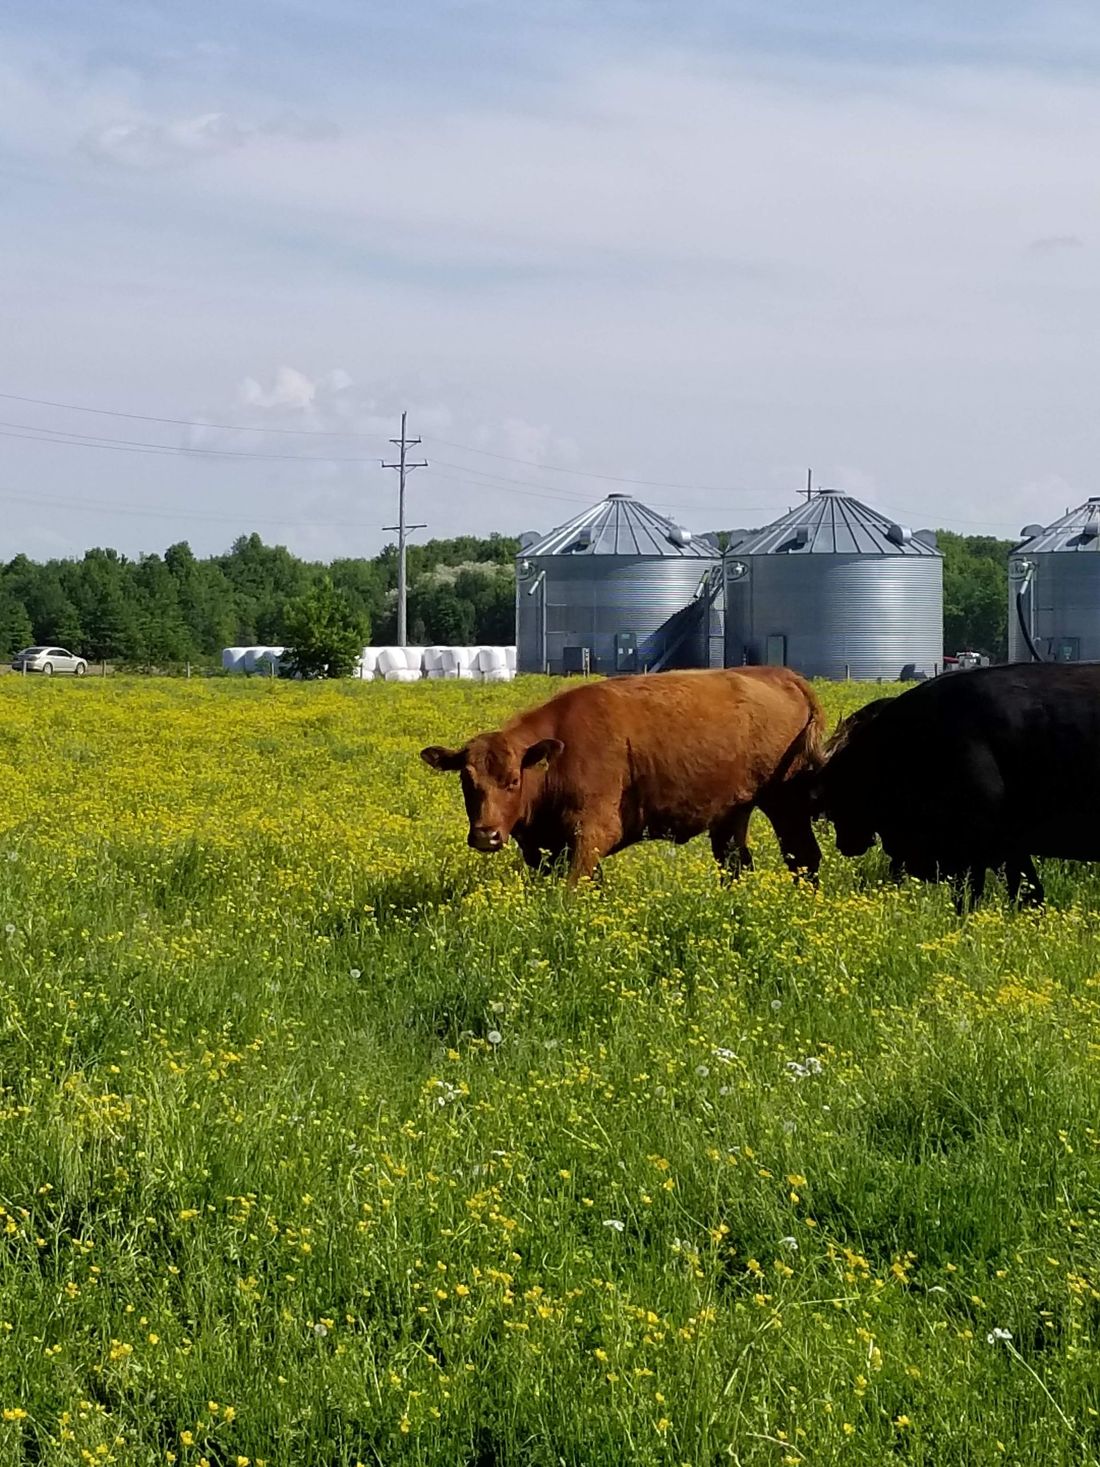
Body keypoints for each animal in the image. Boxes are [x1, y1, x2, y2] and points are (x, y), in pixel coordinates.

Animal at [422, 668, 827, 880]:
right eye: (466, 781)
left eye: (514, 781)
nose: (486, 835)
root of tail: (779, 673)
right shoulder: (542, 848)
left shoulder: (591, 834)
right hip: (732, 812)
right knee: (735, 862)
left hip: (784, 803)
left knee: (804, 856)